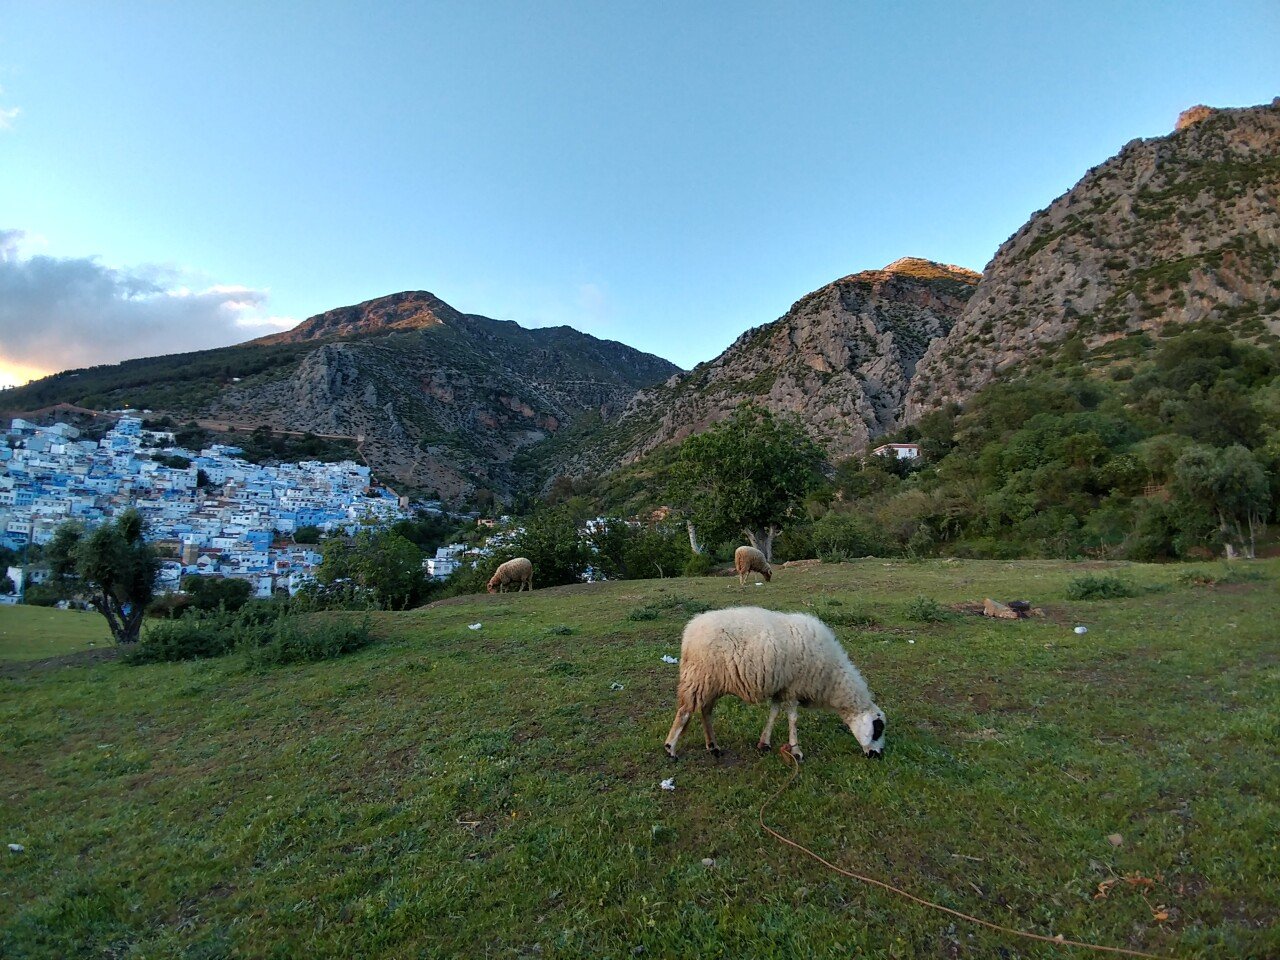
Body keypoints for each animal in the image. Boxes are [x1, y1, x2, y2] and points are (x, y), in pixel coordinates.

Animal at [665, 611, 885, 762]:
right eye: (878, 729)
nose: (877, 755)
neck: (832, 678)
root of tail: (691, 630)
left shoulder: (782, 689)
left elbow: (773, 713)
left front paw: (764, 743)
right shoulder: (794, 687)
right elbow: (793, 719)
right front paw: (796, 751)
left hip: (712, 683)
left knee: (705, 711)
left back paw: (713, 746)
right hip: (700, 678)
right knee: (685, 711)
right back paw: (671, 748)